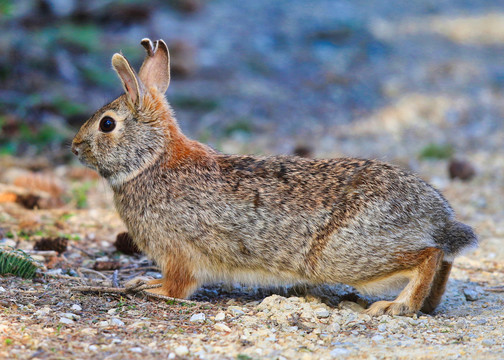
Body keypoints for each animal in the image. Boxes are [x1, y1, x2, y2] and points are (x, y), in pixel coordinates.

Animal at [71, 38, 476, 316]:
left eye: (107, 124)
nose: (75, 147)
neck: (151, 159)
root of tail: (437, 218)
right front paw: (143, 283)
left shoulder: (178, 252)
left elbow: (178, 286)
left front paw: (149, 289)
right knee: (444, 257)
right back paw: (427, 303)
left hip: (344, 254)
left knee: (430, 254)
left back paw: (398, 306)